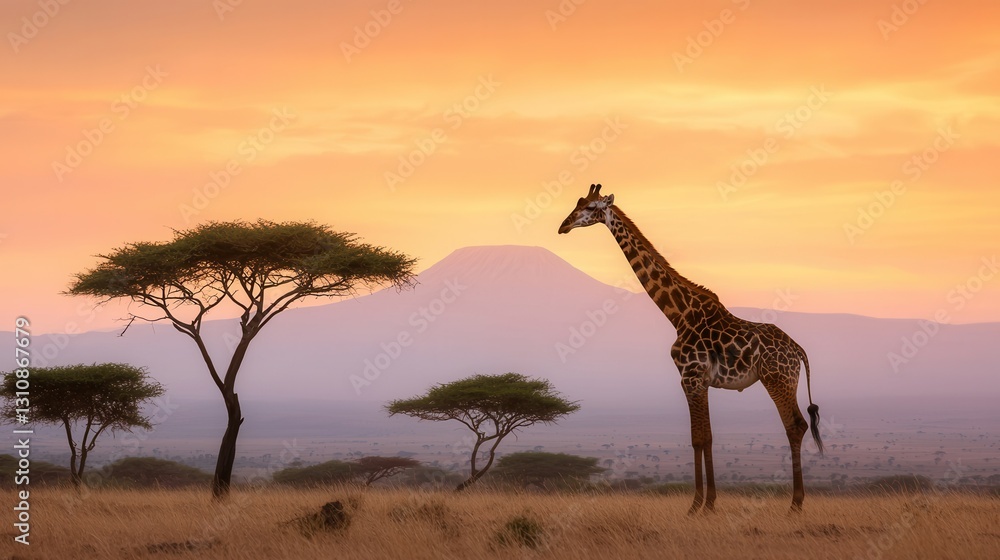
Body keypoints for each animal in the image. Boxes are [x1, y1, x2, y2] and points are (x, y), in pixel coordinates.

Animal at [558, 184, 823, 513]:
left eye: (591, 208)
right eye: (577, 203)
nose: (563, 226)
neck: (678, 314)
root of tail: (797, 350)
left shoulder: (691, 376)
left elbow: (699, 438)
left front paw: (698, 505)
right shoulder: (699, 380)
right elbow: (704, 437)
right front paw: (707, 503)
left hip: (778, 379)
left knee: (795, 426)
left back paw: (795, 505)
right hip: (784, 380)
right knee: (796, 426)